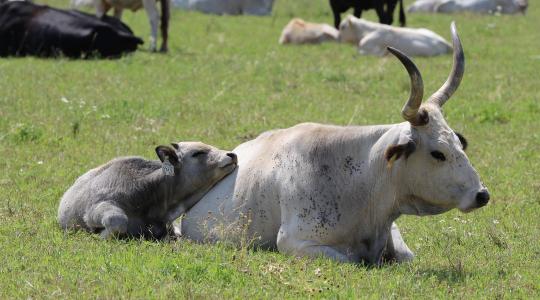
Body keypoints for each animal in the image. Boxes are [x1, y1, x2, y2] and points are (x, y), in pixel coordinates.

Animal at [180, 24, 490, 268]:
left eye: (459, 145)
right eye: (438, 153)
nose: (482, 194)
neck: (363, 181)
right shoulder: (296, 242)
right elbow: (353, 260)